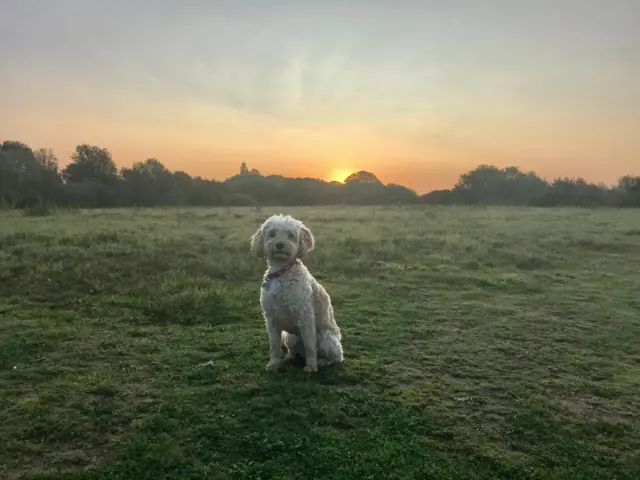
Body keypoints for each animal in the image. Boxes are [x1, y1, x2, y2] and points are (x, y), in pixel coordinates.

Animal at [249, 215, 342, 376]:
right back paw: (289, 357)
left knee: (336, 357)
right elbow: (274, 346)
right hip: (289, 336)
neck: (281, 272)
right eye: (272, 234)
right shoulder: (271, 318)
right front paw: (274, 364)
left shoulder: (305, 316)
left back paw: (322, 361)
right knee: (293, 350)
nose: (280, 244)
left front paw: (311, 367)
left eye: (291, 235)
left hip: (327, 339)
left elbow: (310, 345)